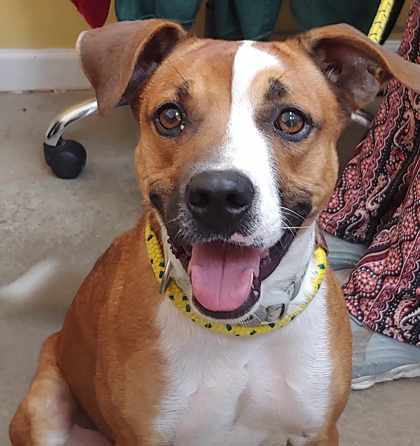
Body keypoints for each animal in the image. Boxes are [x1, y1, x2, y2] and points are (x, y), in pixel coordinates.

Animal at [9, 20, 420, 446]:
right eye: (170, 116)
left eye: (291, 120)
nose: (219, 196)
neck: (241, 332)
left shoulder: (318, 432)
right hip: (44, 409)